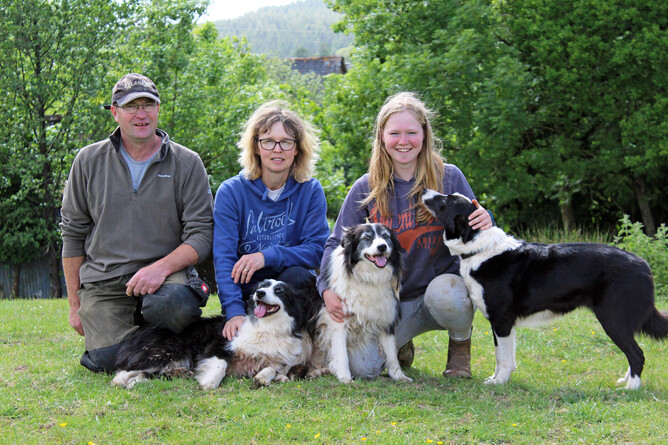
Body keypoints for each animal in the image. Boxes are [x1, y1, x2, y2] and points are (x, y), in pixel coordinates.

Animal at [111, 278, 322, 388]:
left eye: (279, 290)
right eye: (262, 286)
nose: (259, 293)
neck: (267, 327)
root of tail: (138, 334)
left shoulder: (276, 359)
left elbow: (271, 368)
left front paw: (263, 377)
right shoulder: (218, 344)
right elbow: (220, 364)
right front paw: (208, 383)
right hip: (170, 350)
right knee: (125, 370)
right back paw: (124, 381)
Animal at [314, 224, 412, 384]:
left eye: (386, 237)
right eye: (367, 238)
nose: (382, 247)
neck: (368, 278)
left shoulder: (386, 319)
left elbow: (391, 354)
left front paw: (398, 376)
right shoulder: (337, 322)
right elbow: (342, 355)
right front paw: (345, 378)